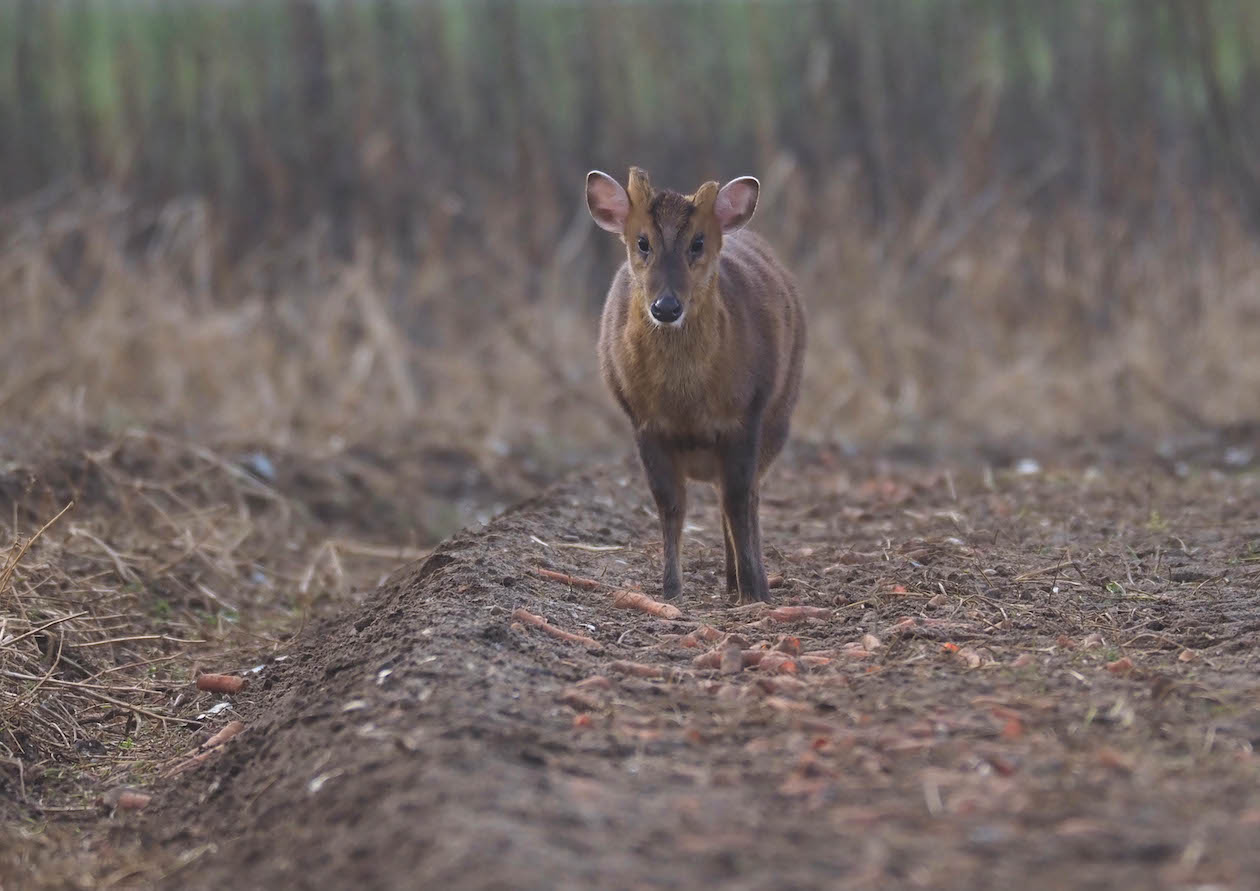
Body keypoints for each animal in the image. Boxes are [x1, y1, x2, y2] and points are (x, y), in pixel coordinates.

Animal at [582, 165, 801, 607]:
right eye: (642, 242)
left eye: (698, 242)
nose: (666, 307)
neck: (686, 401)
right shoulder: (644, 423)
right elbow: (670, 505)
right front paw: (670, 589)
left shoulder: (746, 416)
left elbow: (739, 499)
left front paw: (755, 592)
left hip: (779, 418)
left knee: (744, 497)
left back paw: (747, 582)